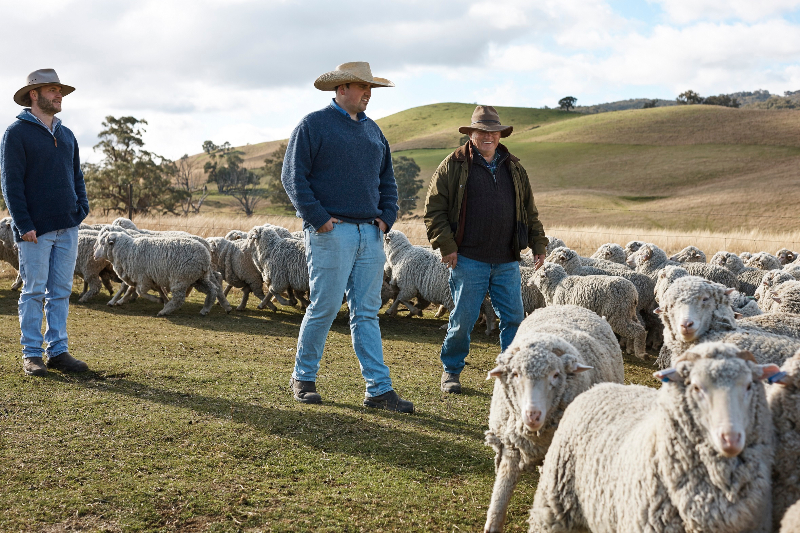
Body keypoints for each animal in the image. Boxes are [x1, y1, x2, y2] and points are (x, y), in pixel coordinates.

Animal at [482, 306, 624, 528]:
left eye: (556, 375)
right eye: (515, 374)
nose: (532, 415)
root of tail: (571, 306)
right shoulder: (512, 446)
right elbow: (500, 495)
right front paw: (492, 524)